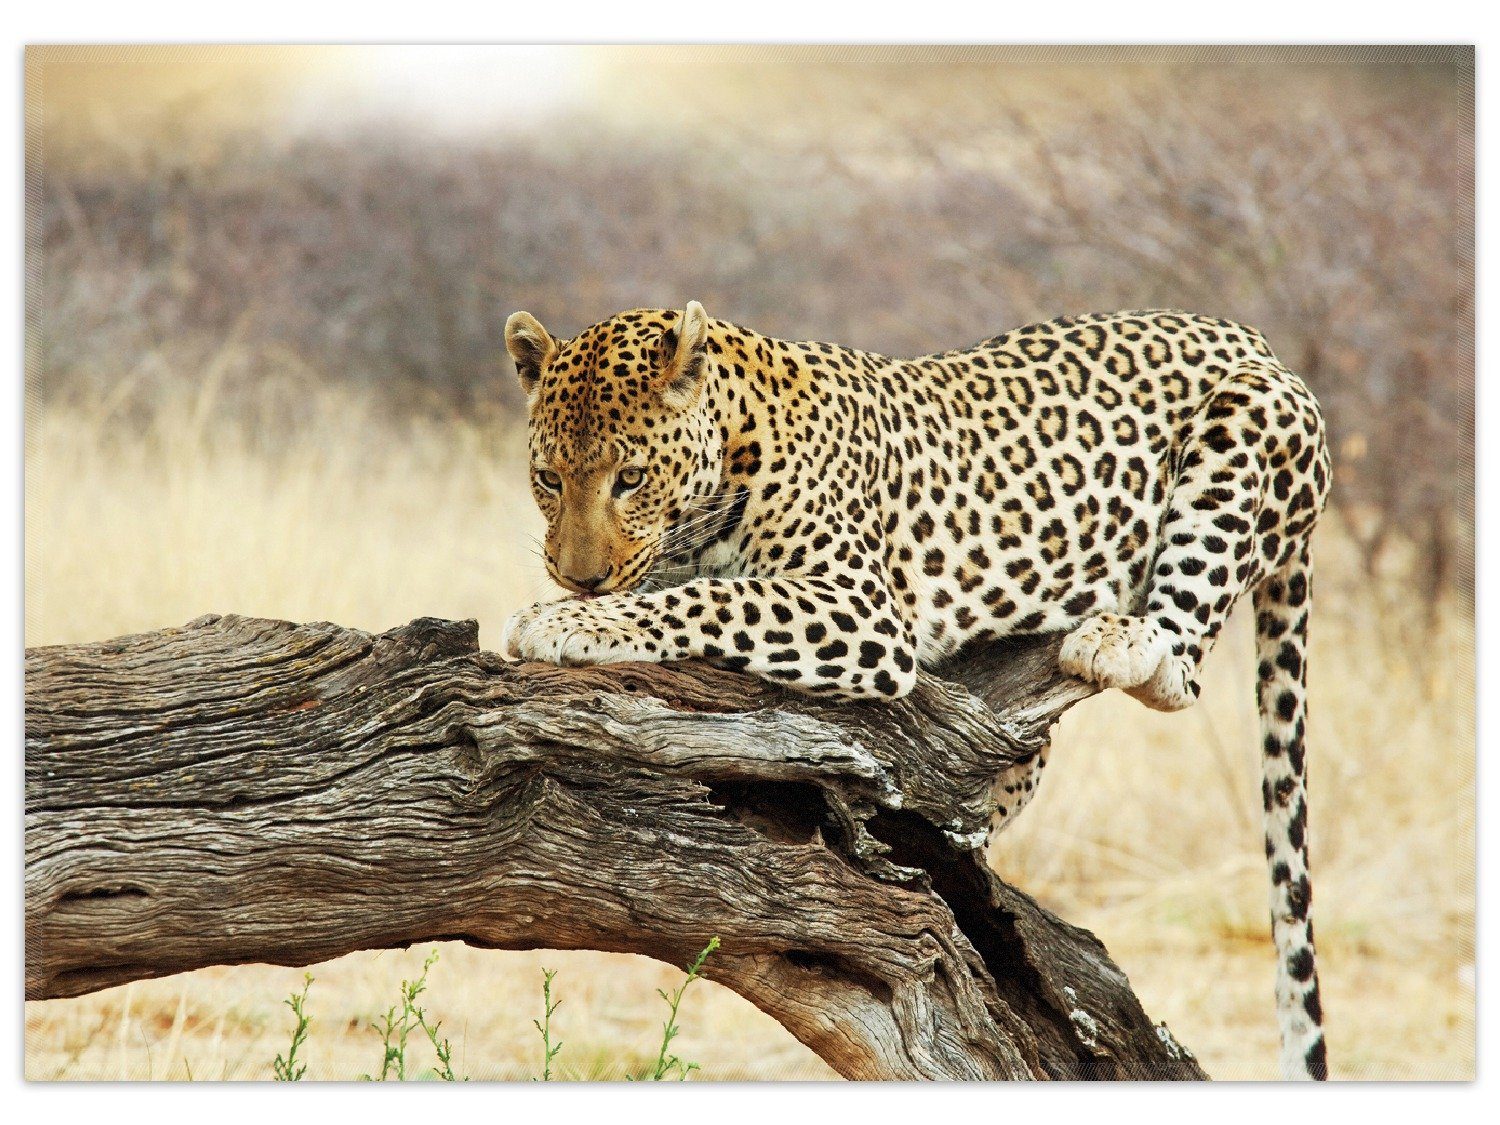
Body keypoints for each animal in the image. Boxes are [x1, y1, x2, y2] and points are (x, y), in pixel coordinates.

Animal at [500, 301, 1332, 1080]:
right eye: (548, 480)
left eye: (630, 478)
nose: (578, 576)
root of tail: (1253, 338)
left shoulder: (858, 605)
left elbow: (709, 599)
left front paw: (564, 620)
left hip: (1243, 426)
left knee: (1180, 665)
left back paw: (1120, 639)